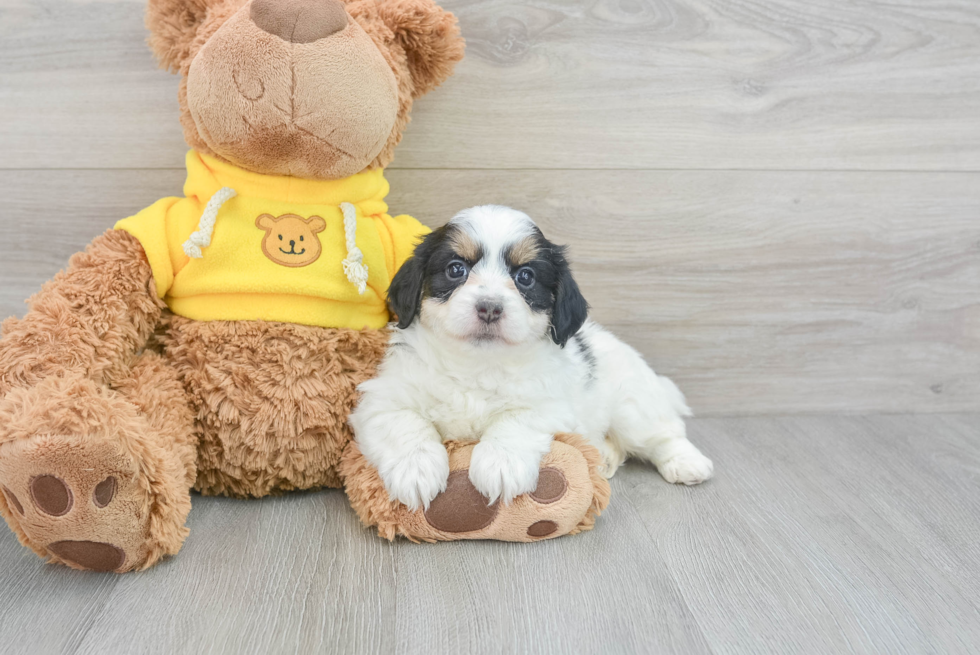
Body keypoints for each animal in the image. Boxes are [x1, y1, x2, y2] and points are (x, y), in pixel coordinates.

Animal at [350, 205, 712, 512]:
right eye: (456, 269)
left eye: (525, 277)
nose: (490, 307)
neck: (476, 366)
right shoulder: (383, 399)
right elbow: (405, 424)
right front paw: (416, 469)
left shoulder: (549, 405)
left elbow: (515, 420)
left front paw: (500, 464)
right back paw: (604, 457)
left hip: (633, 406)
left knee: (664, 433)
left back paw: (686, 462)